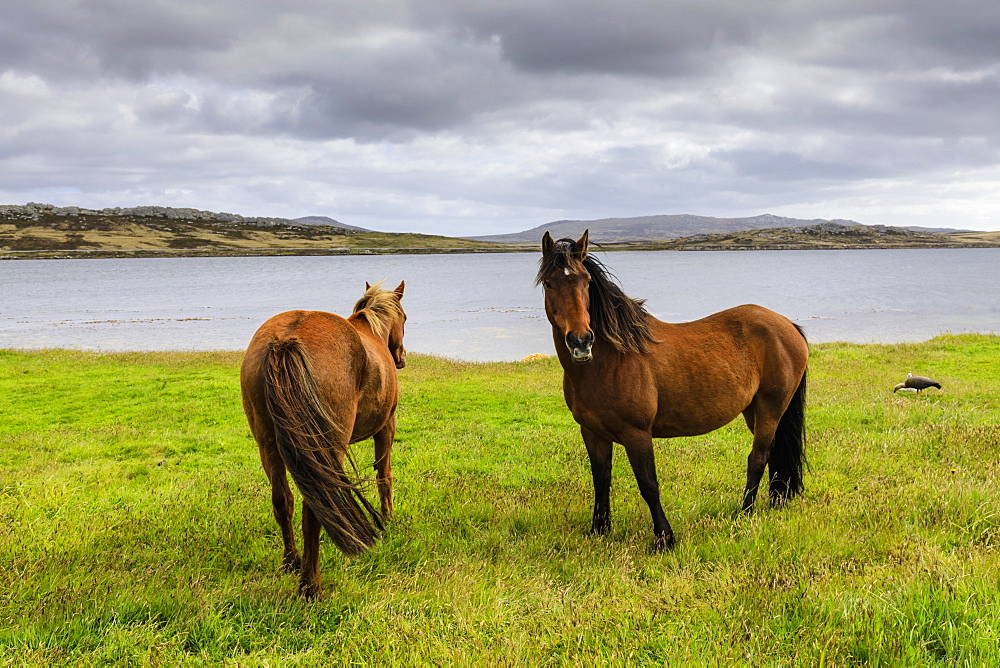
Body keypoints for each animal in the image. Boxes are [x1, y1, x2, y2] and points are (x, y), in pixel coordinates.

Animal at [240, 280, 408, 596]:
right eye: (404, 317)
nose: (402, 357)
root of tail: (285, 340)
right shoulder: (387, 427)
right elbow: (385, 476)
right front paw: (389, 520)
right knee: (315, 508)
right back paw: (311, 584)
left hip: (268, 445)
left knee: (283, 501)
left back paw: (292, 562)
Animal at [536, 232, 808, 552]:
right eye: (549, 283)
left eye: (586, 281)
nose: (581, 341)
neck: (610, 360)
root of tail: (786, 324)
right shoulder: (592, 433)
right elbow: (601, 480)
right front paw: (599, 530)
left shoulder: (637, 434)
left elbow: (648, 485)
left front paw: (664, 538)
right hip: (754, 411)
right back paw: (775, 502)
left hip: (770, 408)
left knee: (758, 458)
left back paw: (745, 513)